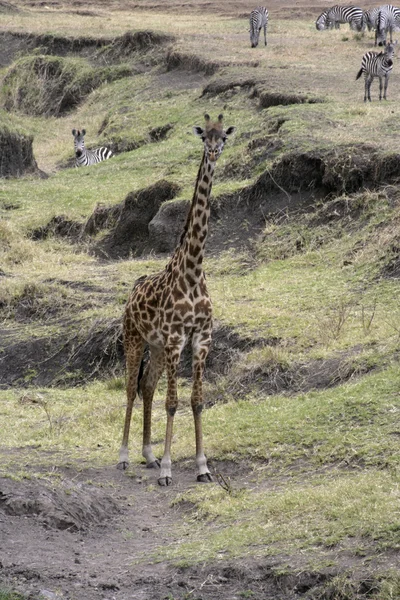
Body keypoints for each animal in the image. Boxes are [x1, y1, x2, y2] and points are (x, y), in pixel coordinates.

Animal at [116, 113, 234, 488]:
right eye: (203, 136)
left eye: (224, 136)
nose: (213, 152)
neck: (193, 271)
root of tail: (131, 294)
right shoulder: (174, 339)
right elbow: (173, 401)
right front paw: (169, 470)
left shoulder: (201, 338)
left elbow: (196, 400)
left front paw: (202, 467)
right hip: (134, 338)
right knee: (130, 388)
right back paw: (125, 456)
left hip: (154, 347)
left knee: (147, 386)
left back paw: (148, 455)